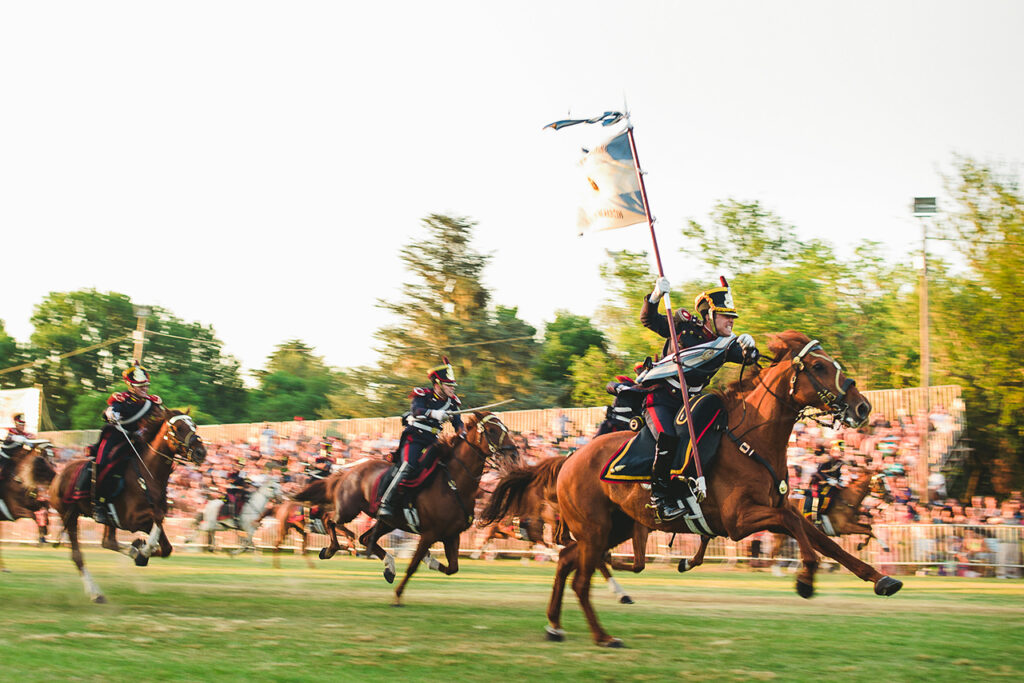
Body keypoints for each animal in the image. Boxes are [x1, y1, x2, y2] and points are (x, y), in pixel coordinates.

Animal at [0, 438, 57, 573]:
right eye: (42, 460)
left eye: (51, 458)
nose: (55, 475)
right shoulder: (14, 510)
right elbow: (33, 514)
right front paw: (41, 536)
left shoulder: (34, 502)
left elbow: (44, 509)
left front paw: (44, 533)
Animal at [49, 409, 205, 602]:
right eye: (178, 428)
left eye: (194, 426)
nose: (201, 452)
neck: (147, 475)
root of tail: (57, 476)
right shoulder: (131, 520)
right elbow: (158, 519)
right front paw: (143, 550)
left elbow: (166, 545)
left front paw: (141, 550)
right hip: (70, 515)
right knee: (77, 555)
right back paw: (96, 594)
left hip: (106, 521)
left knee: (108, 542)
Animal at [315, 411, 520, 602]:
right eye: (492, 430)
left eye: (505, 429)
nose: (514, 454)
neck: (453, 484)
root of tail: (349, 470)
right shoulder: (429, 534)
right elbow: (413, 566)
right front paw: (398, 596)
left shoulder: (451, 535)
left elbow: (452, 568)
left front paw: (429, 560)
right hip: (349, 509)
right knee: (329, 520)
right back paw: (331, 549)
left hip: (387, 522)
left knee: (364, 538)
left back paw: (389, 567)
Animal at [491, 333, 901, 651]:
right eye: (818, 367)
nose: (861, 407)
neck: (751, 440)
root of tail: (569, 459)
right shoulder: (740, 521)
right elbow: (801, 531)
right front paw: (805, 580)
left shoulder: (775, 511)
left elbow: (825, 540)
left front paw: (882, 579)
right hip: (595, 529)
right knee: (579, 579)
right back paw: (603, 636)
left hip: (612, 528)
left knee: (566, 562)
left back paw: (554, 625)